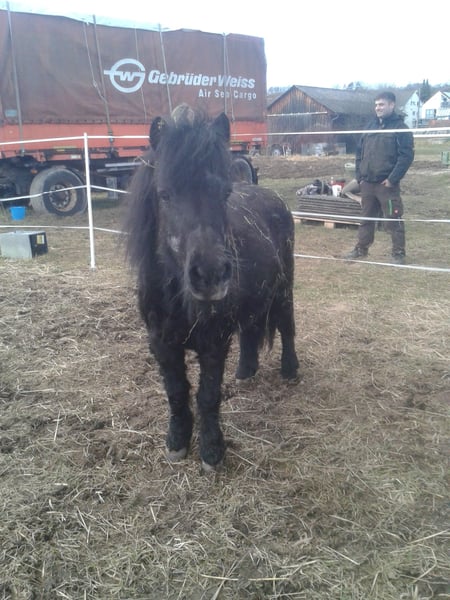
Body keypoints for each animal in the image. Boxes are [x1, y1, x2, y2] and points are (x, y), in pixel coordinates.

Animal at [125, 106, 299, 470]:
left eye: (224, 194)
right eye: (165, 194)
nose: (211, 275)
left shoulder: (213, 343)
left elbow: (207, 396)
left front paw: (211, 451)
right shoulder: (161, 344)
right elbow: (176, 392)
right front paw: (177, 442)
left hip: (284, 289)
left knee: (287, 326)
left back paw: (290, 370)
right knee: (251, 330)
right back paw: (246, 371)